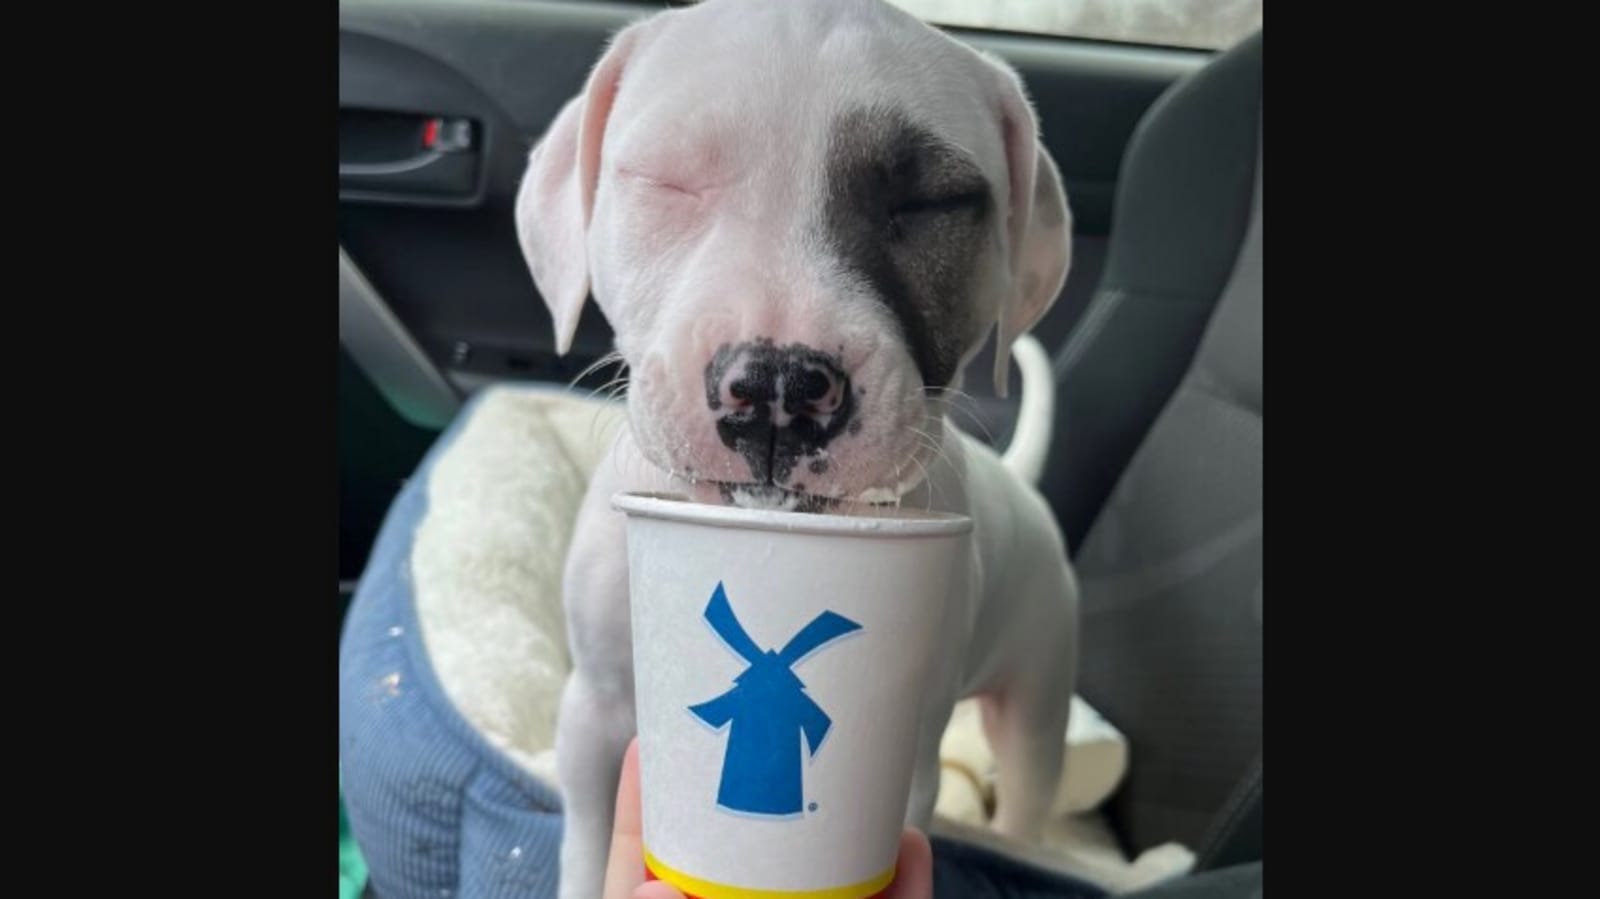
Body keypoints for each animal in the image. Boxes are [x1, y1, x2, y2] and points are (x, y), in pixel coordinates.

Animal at [512, 1, 1081, 889]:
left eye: (932, 203)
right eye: (665, 177)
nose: (778, 387)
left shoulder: (915, 756)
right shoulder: (595, 708)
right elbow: (588, 830)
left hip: (1041, 684)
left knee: (1027, 782)